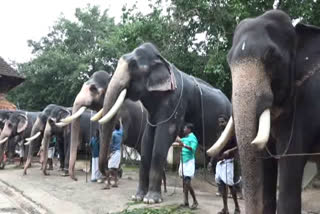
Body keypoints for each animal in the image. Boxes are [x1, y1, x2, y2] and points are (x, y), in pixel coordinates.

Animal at [94, 42, 231, 204]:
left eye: (133, 66)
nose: (108, 172)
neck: (162, 60)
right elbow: (147, 140)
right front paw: (138, 197)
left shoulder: (176, 100)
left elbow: (163, 138)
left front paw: (151, 200)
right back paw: (220, 192)